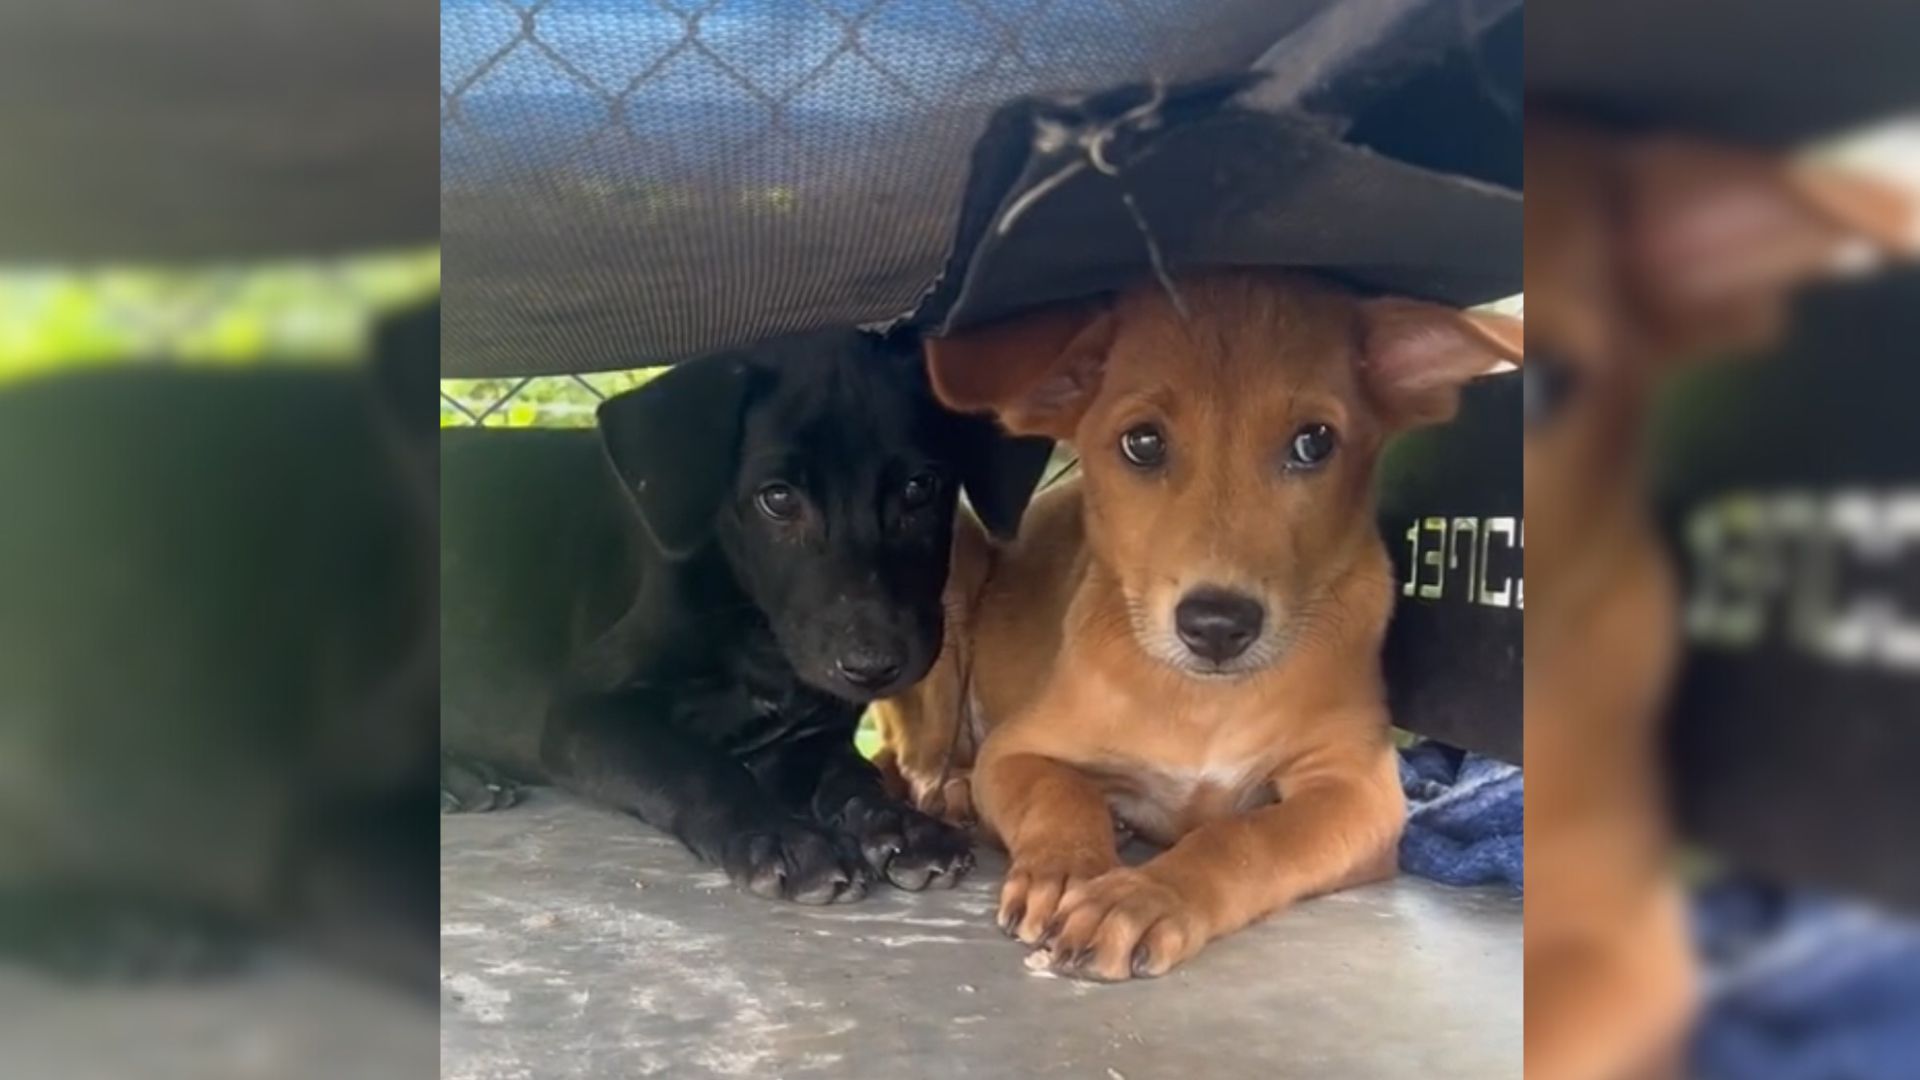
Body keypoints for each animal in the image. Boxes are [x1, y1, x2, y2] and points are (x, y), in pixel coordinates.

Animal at [439, 330, 1052, 899]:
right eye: (777, 499)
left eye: (919, 487)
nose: (872, 665)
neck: (757, 637)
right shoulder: (583, 713)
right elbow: (698, 767)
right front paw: (787, 839)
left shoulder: (809, 737)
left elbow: (856, 777)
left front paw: (902, 825)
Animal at [879, 267, 1520, 976]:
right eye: (1143, 442)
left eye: (1314, 442)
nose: (1217, 625)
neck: (1203, 700)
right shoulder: (1017, 748)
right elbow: (1059, 796)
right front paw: (1070, 868)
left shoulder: (1359, 790)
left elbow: (1246, 836)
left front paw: (1144, 896)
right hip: (951, 568)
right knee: (910, 760)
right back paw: (954, 791)